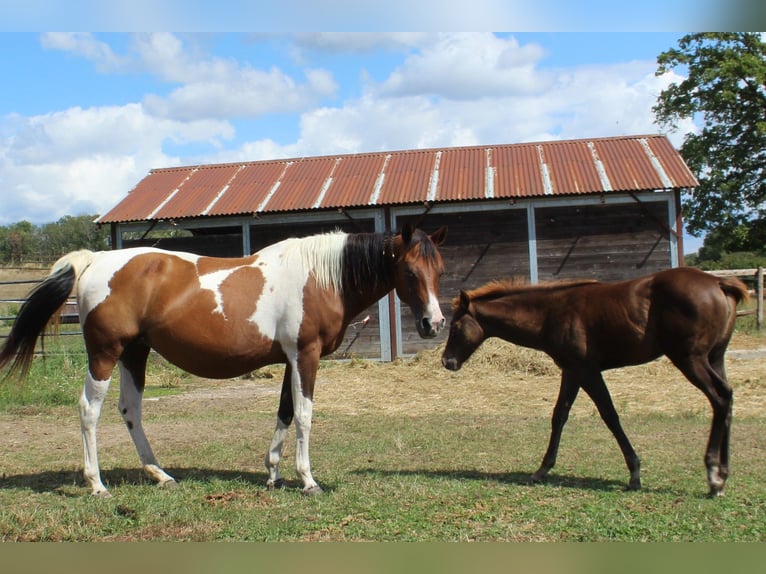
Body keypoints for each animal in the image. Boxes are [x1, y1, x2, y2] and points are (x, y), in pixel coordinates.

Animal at [0, 224, 447, 497]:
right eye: (409, 272)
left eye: (438, 269)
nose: (435, 323)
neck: (320, 277)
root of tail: (95, 260)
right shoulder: (305, 354)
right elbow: (304, 414)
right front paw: (307, 479)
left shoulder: (289, 358)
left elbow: (285, 411)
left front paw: (273, 472)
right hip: (106, 354)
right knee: (89, 411)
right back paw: (96, 484)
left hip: (135, 352)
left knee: (131, 410)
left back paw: (160, 475)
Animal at [441, 267, 749, 496]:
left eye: (455, 327)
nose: (447, 361)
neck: (550, 313)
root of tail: (718, 281)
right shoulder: (571, 371)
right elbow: (559, 415)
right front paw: (542, 470)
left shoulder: (586, 371)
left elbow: (609, 414)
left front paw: (634, 473)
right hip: (715, 358)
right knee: (727, 399)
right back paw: (723, 475)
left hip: (690, 359)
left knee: (719, 398)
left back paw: (713, 475)